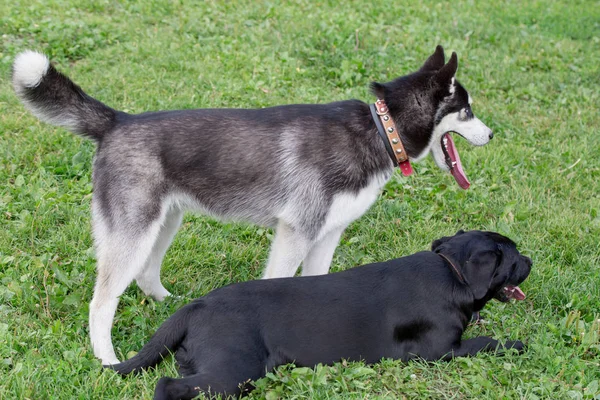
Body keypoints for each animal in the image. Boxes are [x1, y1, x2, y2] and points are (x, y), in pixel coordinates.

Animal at [11, 45, 494, 364]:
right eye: (467, 110)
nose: (493, 135)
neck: (380, 128)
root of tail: (118, 122)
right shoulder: (295, 232)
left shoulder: (327, 234)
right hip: (134, 232)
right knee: (101, 303)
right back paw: (107, 358)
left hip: (165, 223)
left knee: (147, 274)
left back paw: (168, 301)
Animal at [108, 230, 528, 398]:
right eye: (512, 259)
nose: (531, 261)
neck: (454, 273)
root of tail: (195, 306)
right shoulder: (438, 351)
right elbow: (487, 341)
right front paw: (516, 344)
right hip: (235, 369)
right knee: (167, 385)